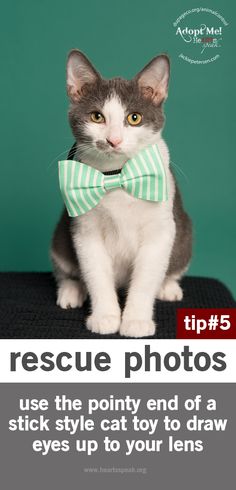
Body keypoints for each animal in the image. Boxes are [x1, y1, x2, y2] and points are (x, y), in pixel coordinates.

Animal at [51, 49, 192, 338]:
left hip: (184, 234)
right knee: (65, 269)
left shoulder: (161, 229)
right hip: (60, 238)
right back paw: (71, 289)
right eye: (97, 117)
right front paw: (105, 316)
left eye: (134, 118)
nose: (113, 140)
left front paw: (136, 320)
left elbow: (146, 277)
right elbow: (96, 273)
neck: (116, 177)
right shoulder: (85, 229)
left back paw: (168, 287)